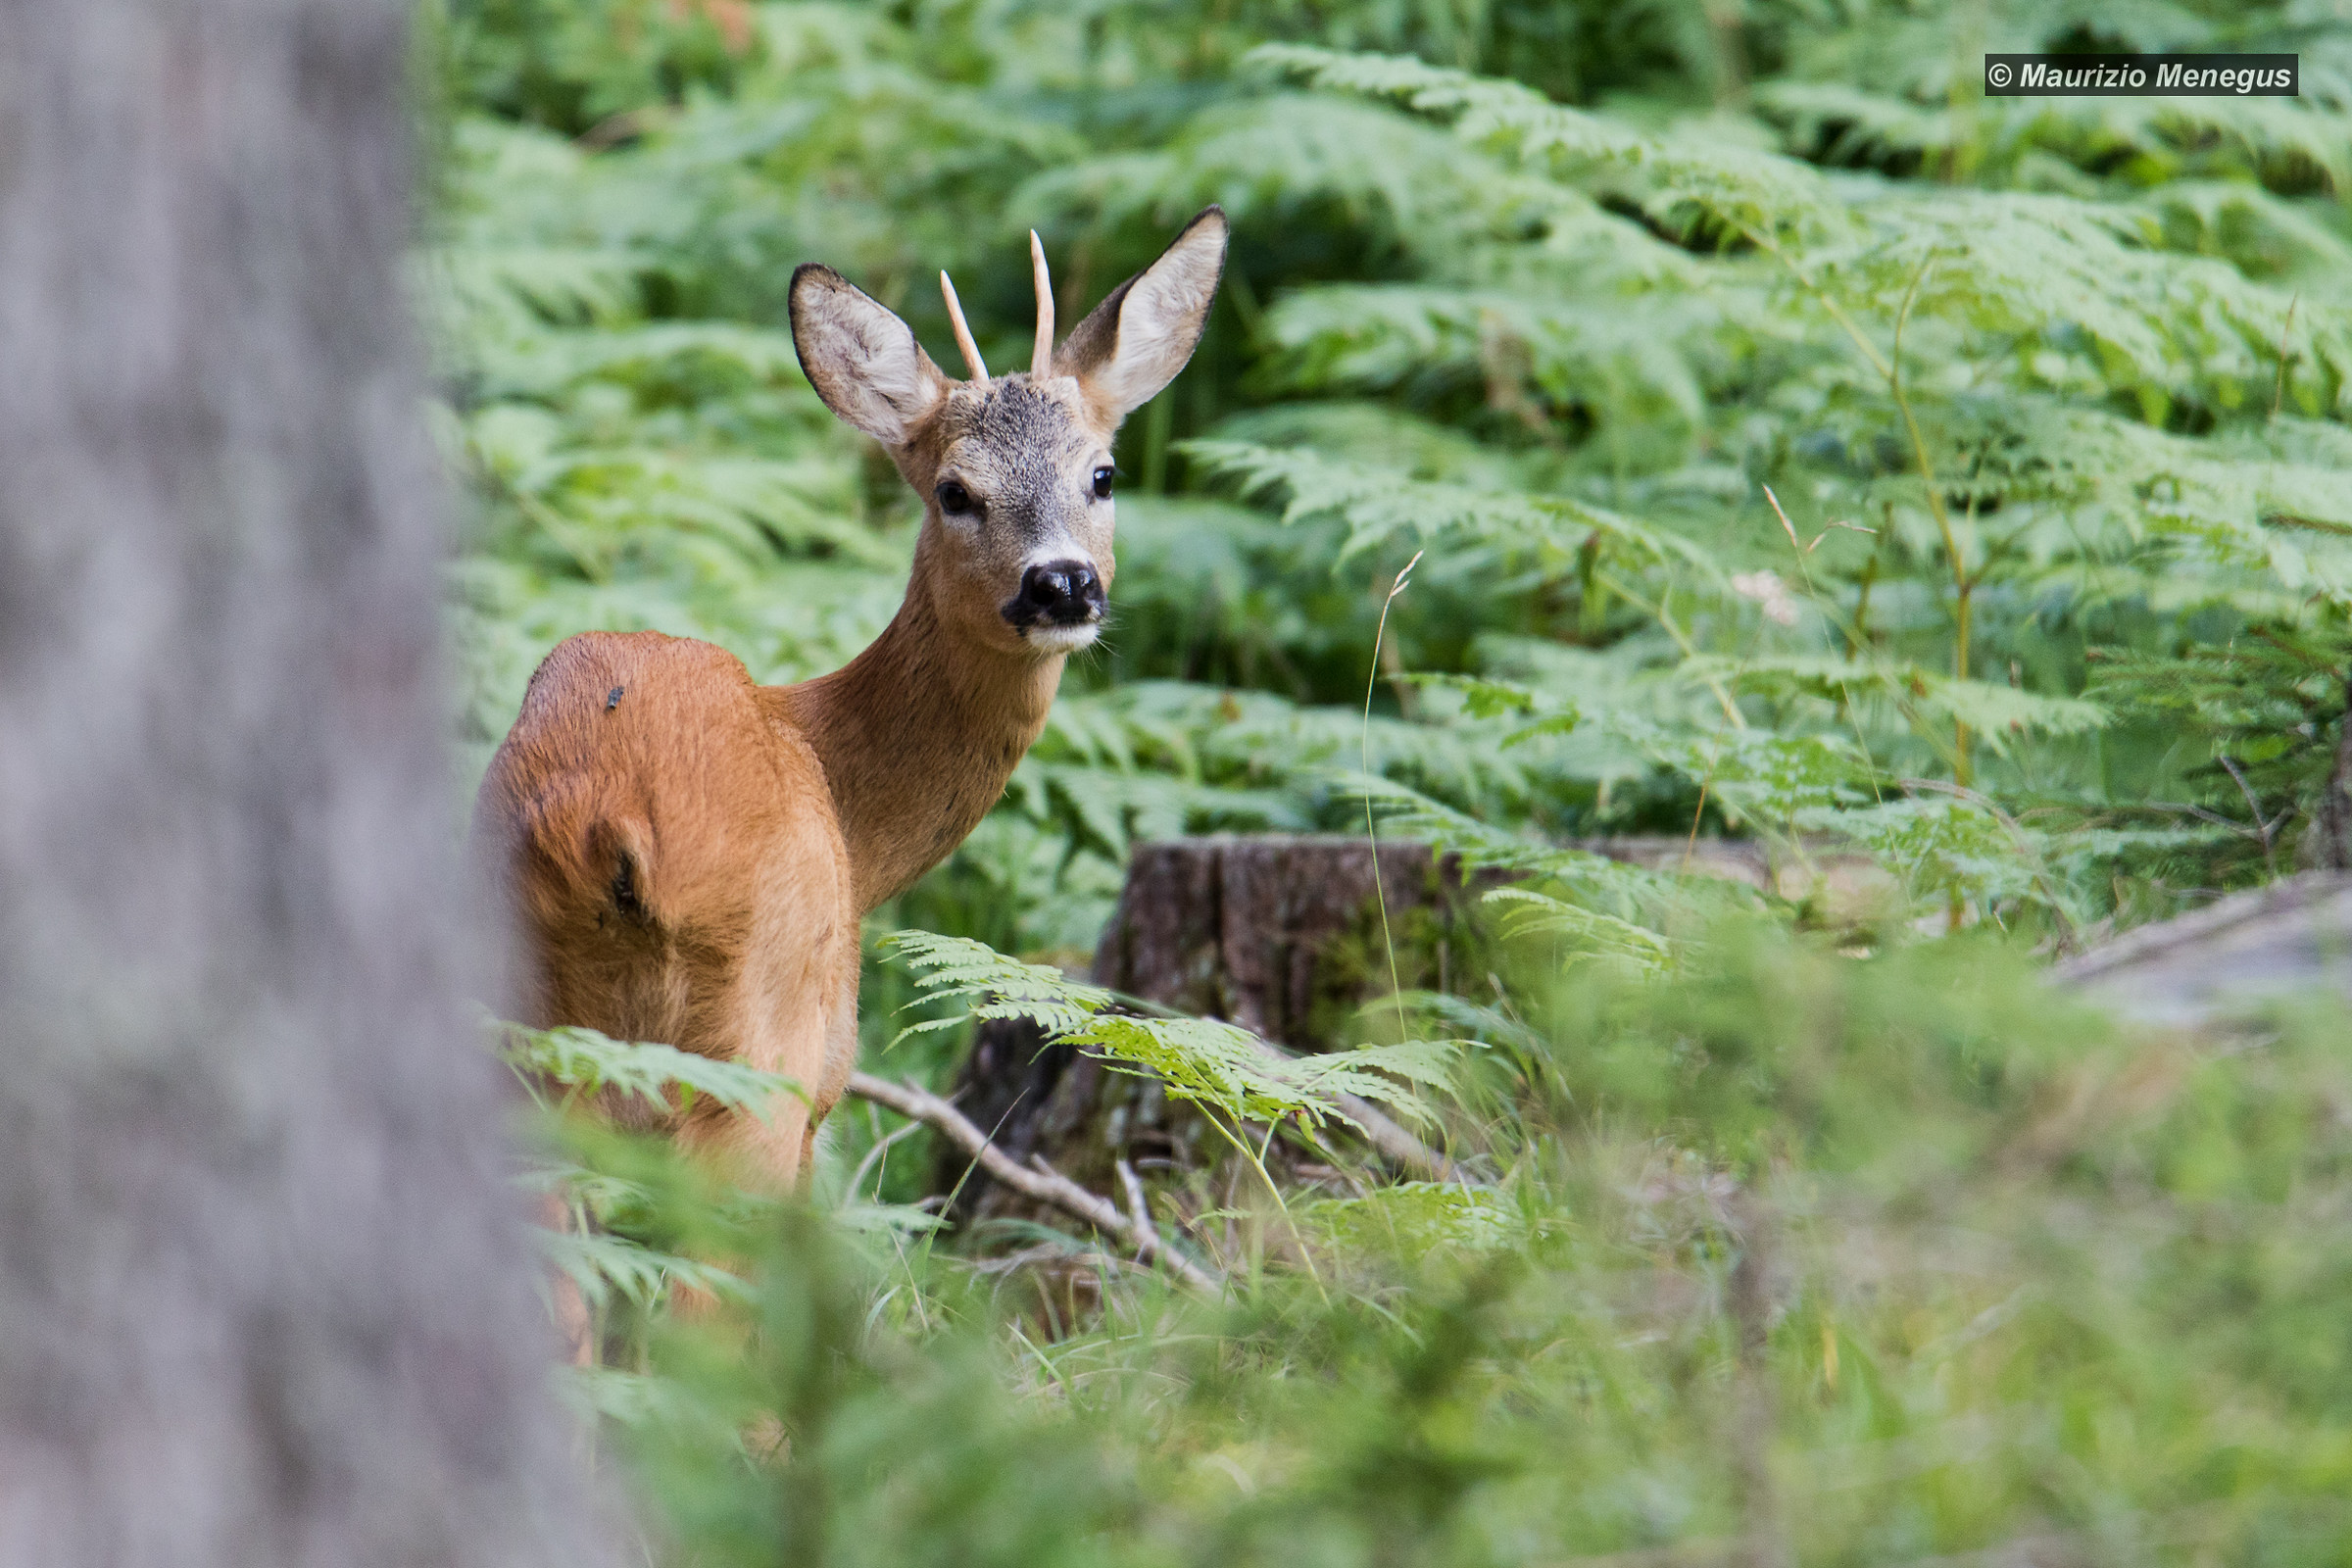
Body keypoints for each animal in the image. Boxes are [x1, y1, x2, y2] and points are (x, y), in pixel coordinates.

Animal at [474, 209, 1229, 1196]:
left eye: (1102, 475)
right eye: (955, 491)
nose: (1062, 583)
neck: (844, 802)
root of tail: (608, 826)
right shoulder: (824, 1076)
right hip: (758, 1053)